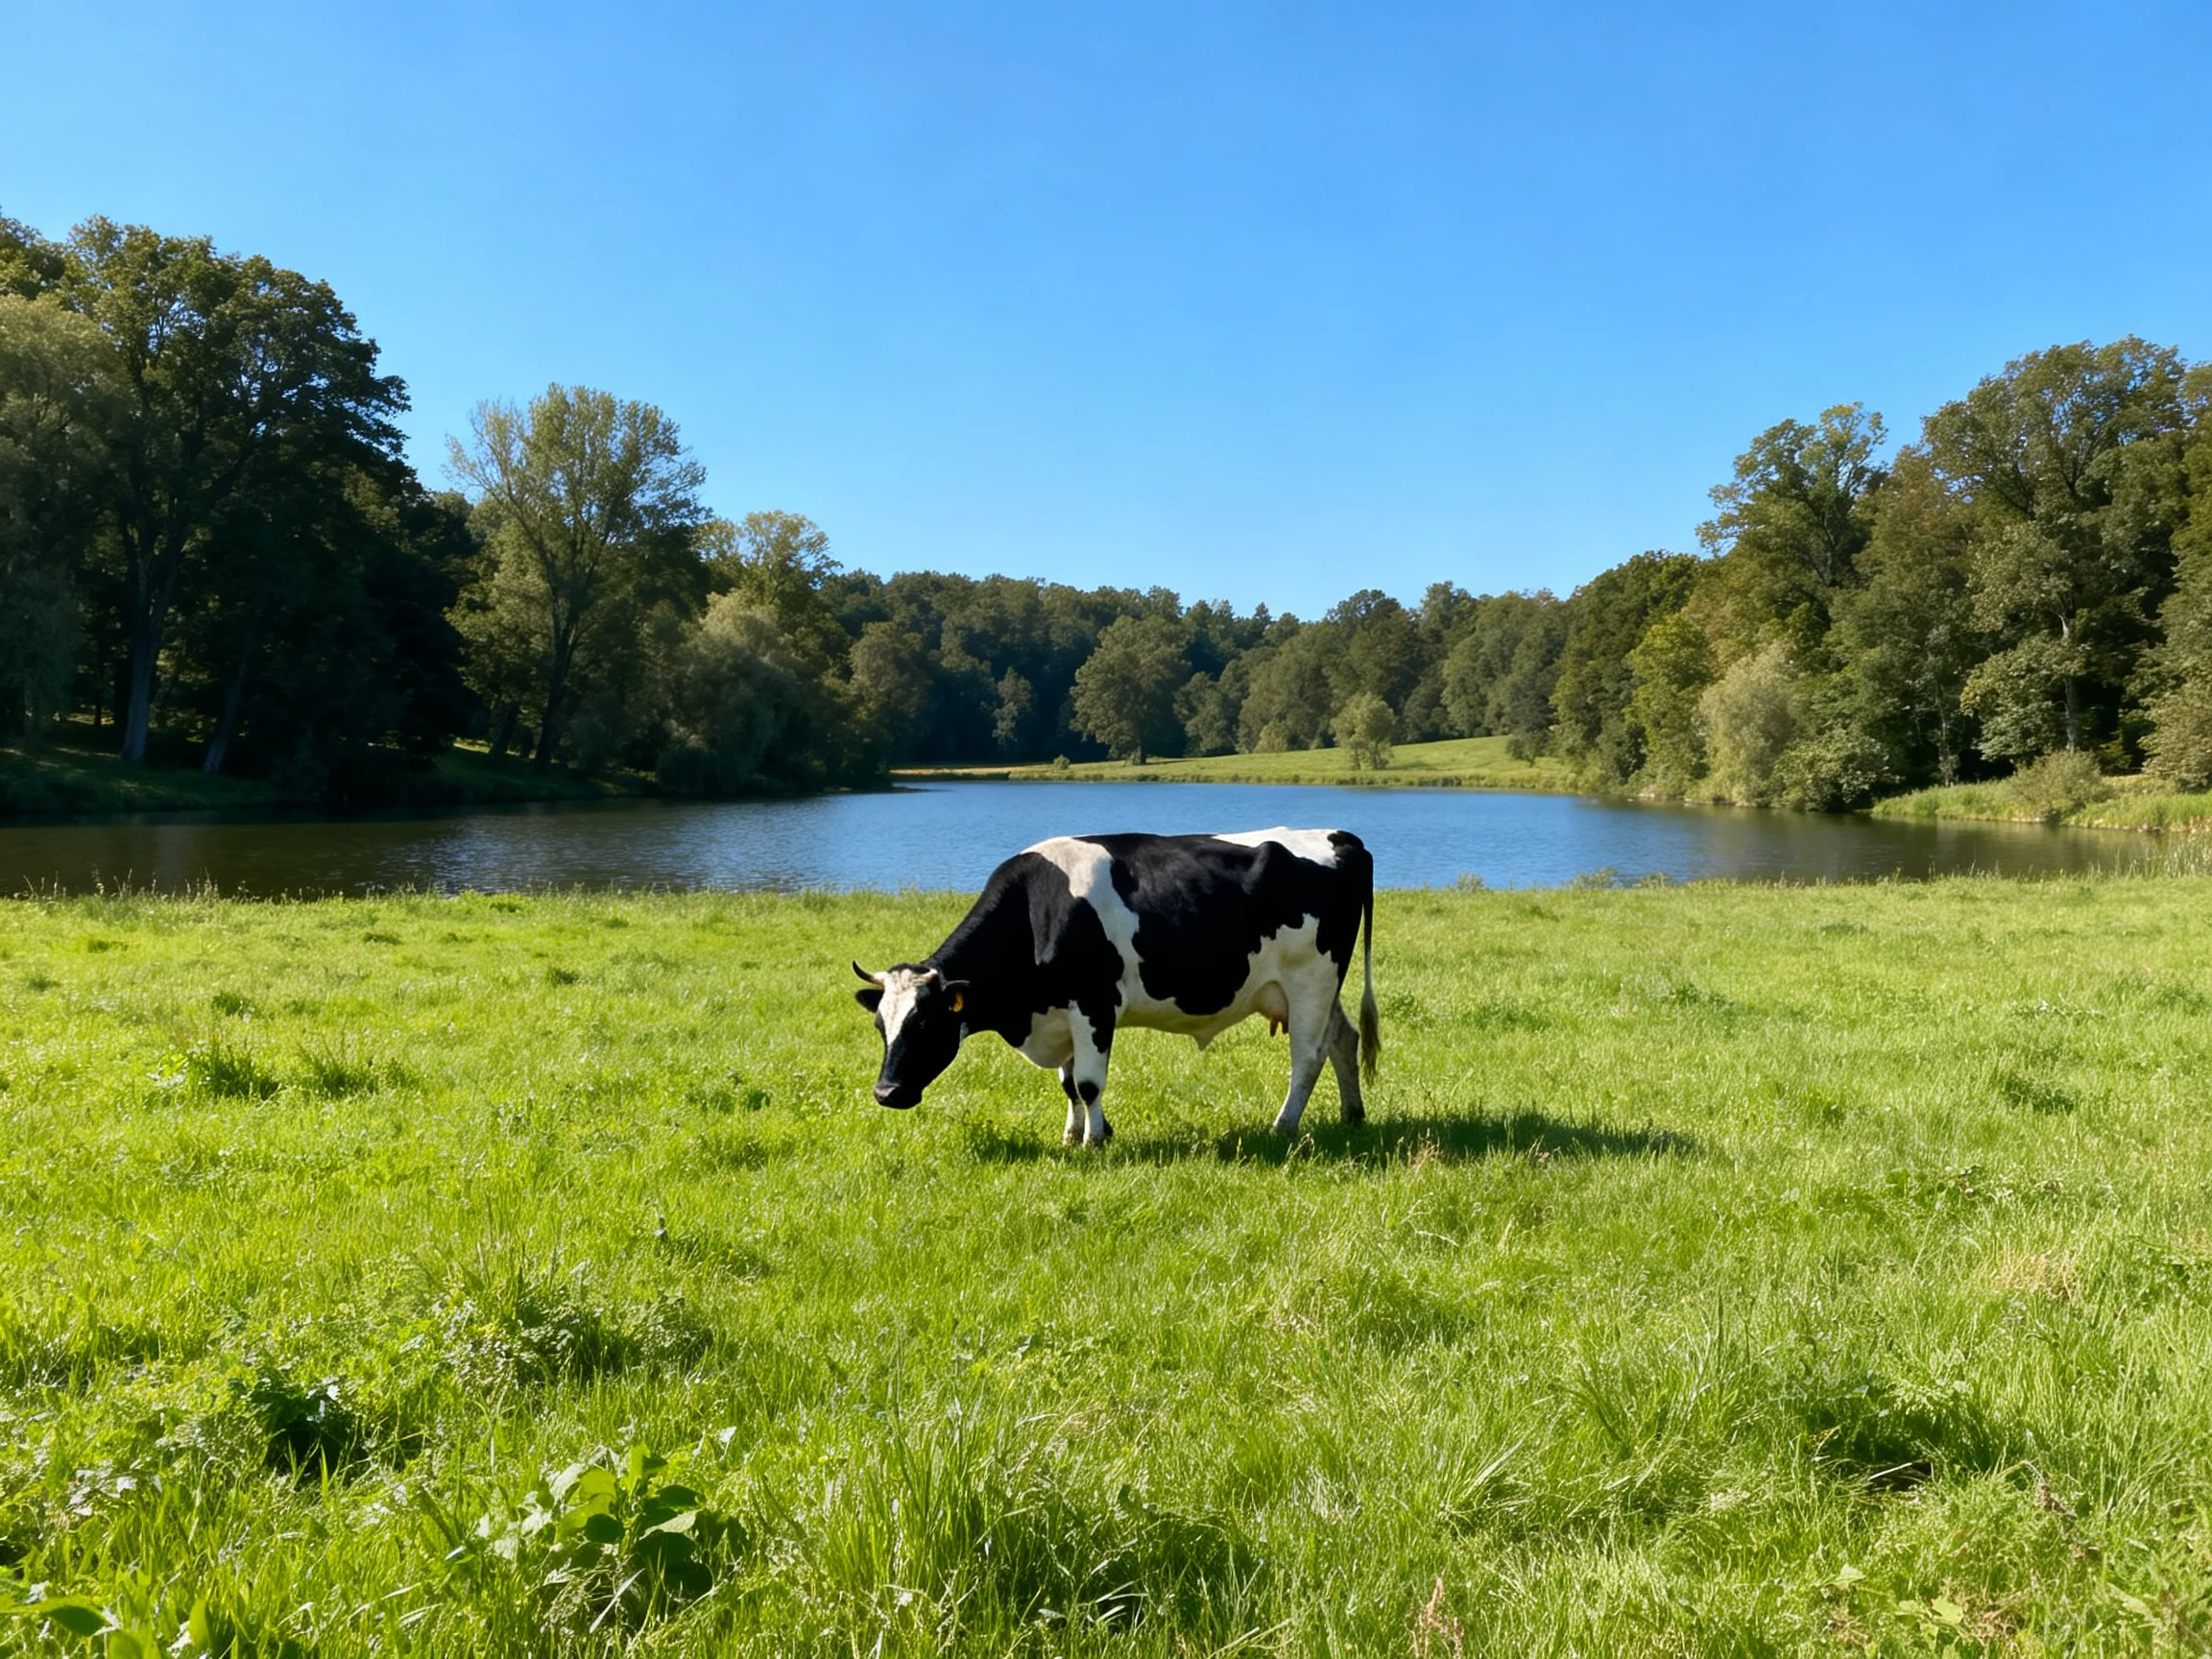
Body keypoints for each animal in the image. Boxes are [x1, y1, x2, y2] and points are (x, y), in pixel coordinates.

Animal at [851, 827, 1379, 1144]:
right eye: (881, 1026)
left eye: (925, 1023)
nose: (886, 1092)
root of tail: (1341, 837)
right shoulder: (1062, 1013)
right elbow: (1068, 1084)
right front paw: (1073, 1135)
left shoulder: (1094, 1005)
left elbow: (1087, 1082)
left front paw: (1094, 1141)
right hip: (1304, 989)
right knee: (1343, 1038)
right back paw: (1353, 1114)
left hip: (1310, 979)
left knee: (1307, 1056)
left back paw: (1282, 1126)